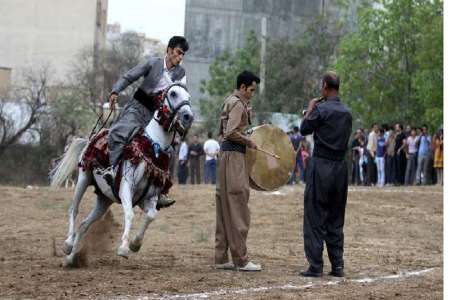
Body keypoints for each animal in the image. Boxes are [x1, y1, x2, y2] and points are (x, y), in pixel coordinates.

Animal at [50, 82, 193, 268]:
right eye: (173, 93)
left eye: (188, 97)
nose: (188, 116)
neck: (152, 149)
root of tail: (92, 138)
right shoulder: (126, 187)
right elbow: (129, 214)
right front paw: (124, 247)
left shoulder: (150, 197)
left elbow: (151, 216)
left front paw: (135, 244)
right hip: (83, 179)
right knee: (73, 210)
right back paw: (67, 245)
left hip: (104, 199)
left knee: (84, 225)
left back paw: (71, 259)